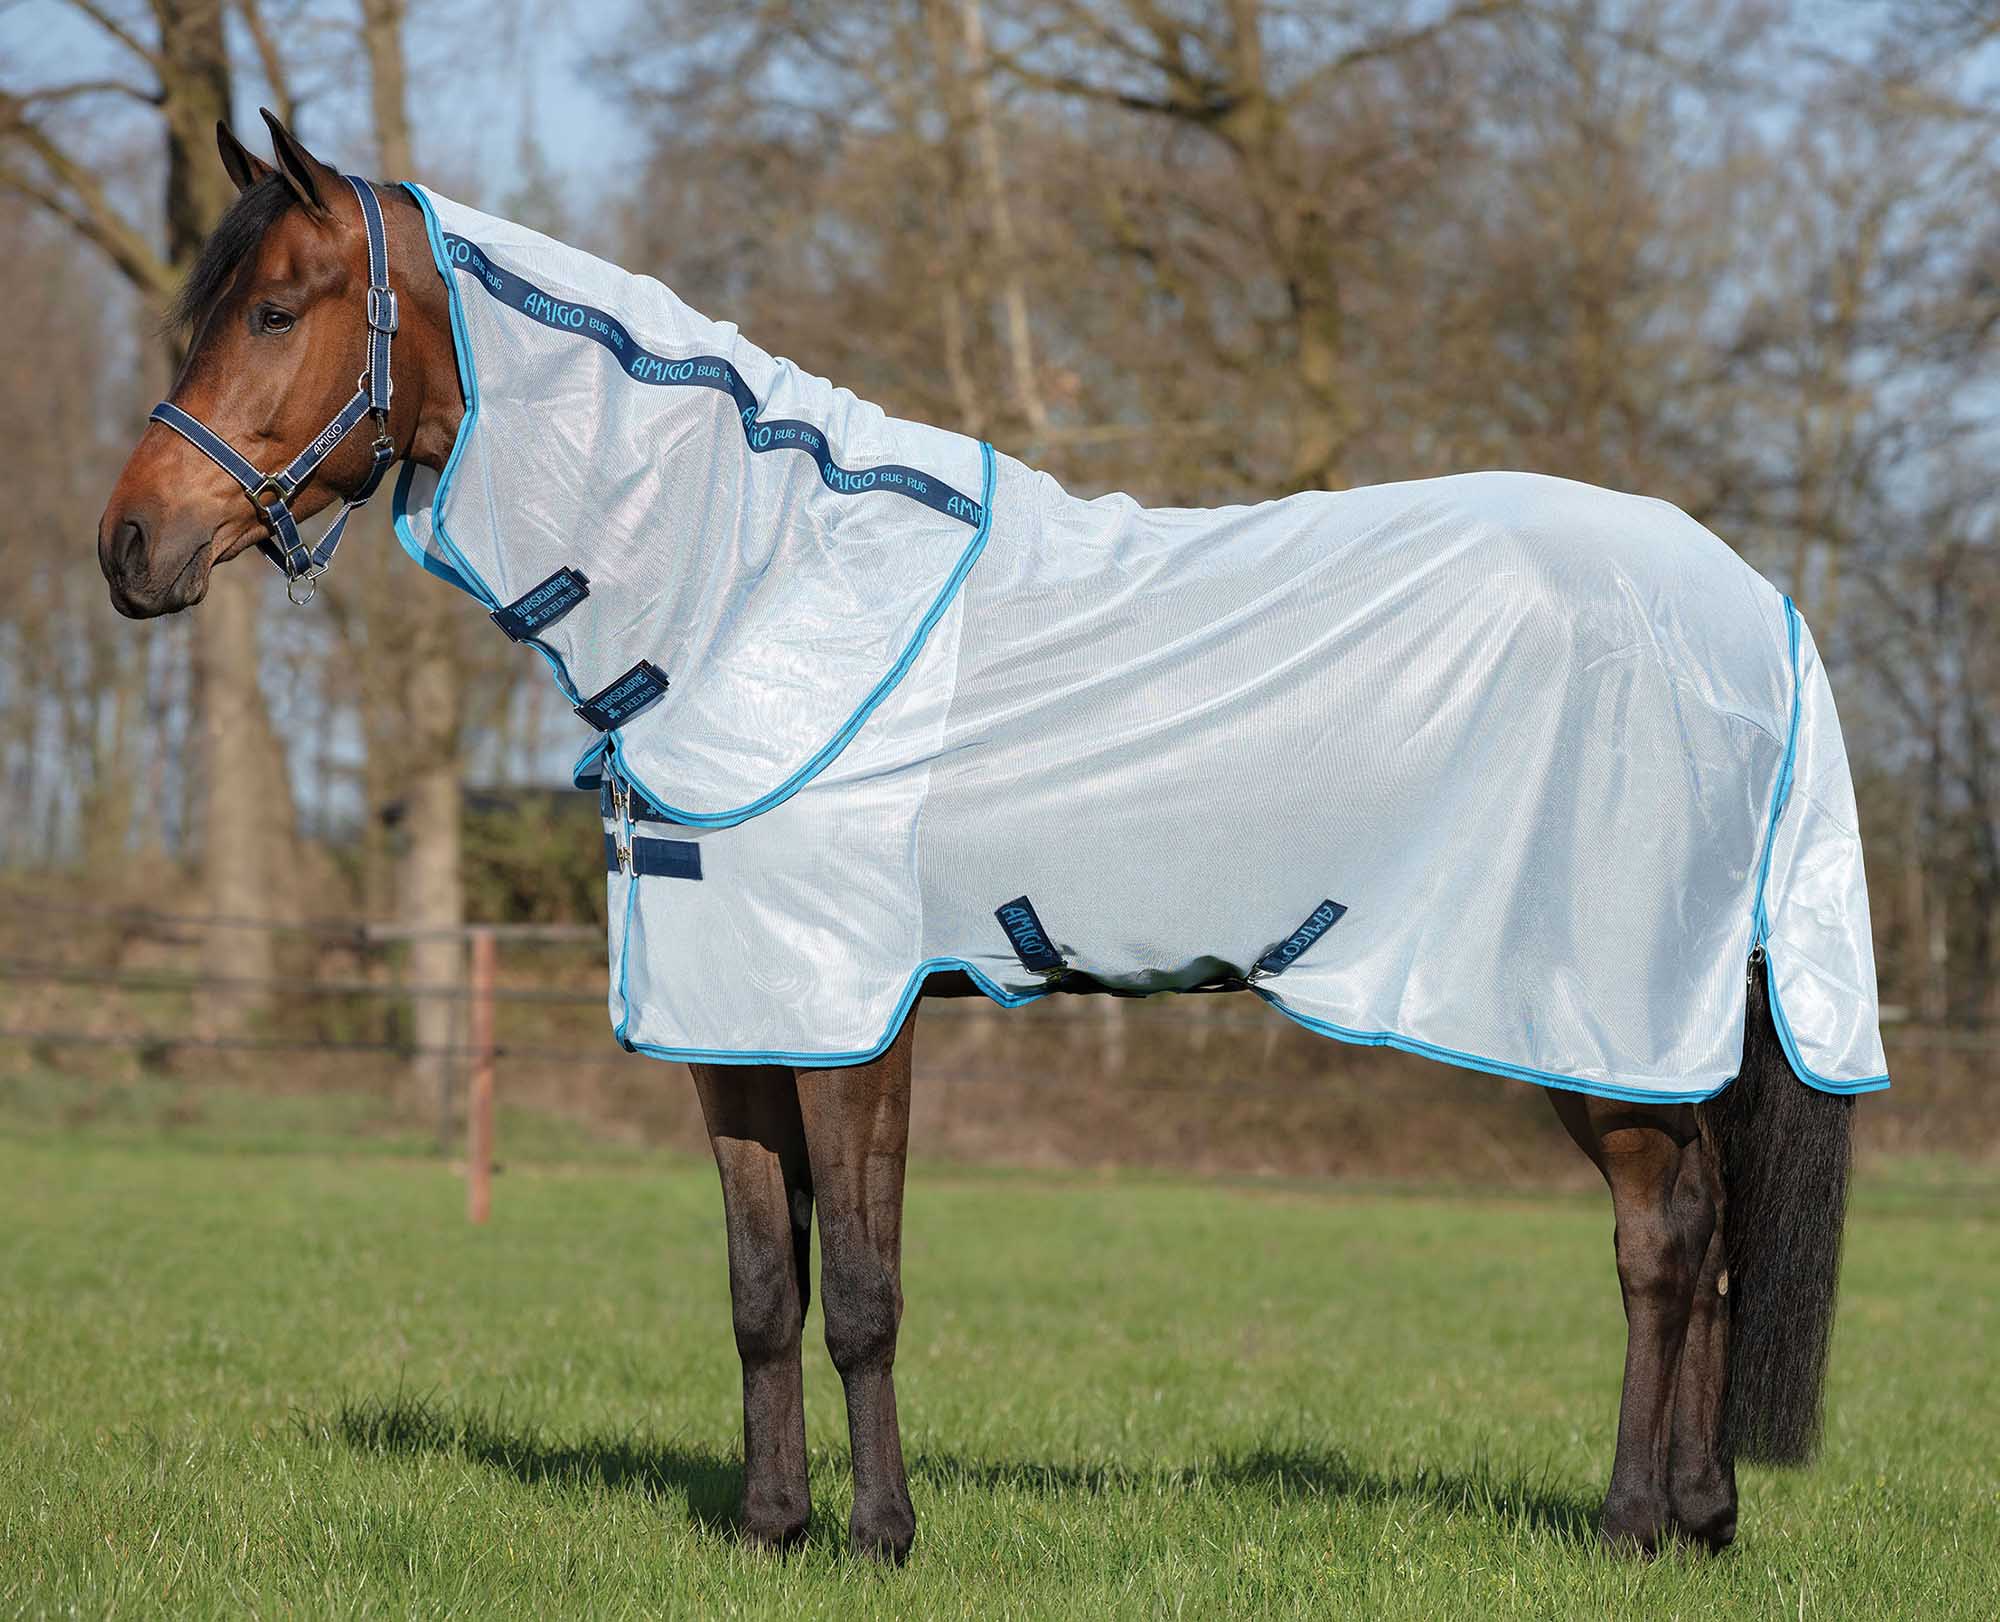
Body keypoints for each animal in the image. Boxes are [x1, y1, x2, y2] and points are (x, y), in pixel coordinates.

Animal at [99, 113, 1878, 1563]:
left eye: (276, 310)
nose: (130, 545)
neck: (753, 589)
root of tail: (1759, 607)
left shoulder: (854, 1025)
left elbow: (866, 1296)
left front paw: (881, 1536)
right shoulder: (732, 1023)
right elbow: (763, 1291)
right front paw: (770, 1529)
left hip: (1588, 1017)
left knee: (1665, 1239)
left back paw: (1635, 1522)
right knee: (1711, 1235)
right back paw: (1703, 1517)